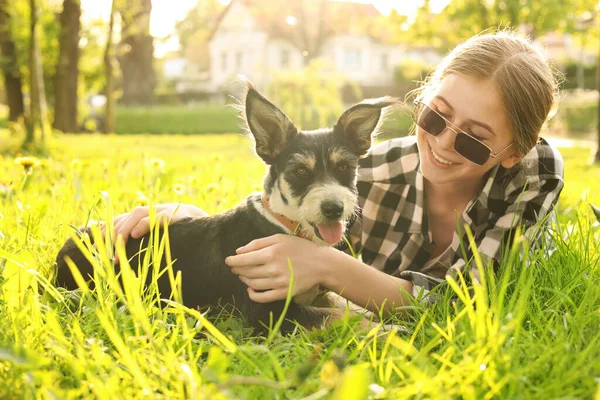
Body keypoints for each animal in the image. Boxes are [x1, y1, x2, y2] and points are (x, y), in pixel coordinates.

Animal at [54, 83, 396, 332]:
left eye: (344, 168)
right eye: (300, 171)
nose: (333, 208)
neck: (282, 224)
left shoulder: (319, 293)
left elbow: (347, 306)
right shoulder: (266, 313)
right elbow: (338, 317)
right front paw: (389, 331)